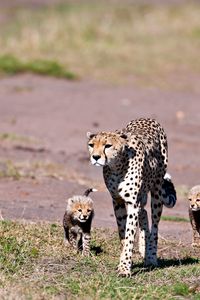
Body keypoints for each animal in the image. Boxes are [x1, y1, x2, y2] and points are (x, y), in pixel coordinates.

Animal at [86, 118, 176, 276]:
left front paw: (124, 268)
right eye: (91, 145)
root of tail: (148, 118)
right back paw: (143, 248)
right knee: (144, 212)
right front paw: (126, 260)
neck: (117, 166)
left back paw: (151, 257)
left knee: (155, 225)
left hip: (157, 191)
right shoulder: (117, 201)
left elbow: (129, 235)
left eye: (107, 145)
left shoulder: (132, 203)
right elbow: (123, 233)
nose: (95, 157)